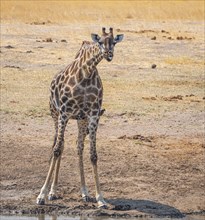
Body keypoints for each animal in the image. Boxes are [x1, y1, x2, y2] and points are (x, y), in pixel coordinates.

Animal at [36, 27, 123, 208]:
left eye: (114, 42)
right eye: (100, 41)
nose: (109, 53)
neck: (86, 74)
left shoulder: (93, 115)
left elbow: (93, 155)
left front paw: (100, 198)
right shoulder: (64, 112)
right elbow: (57, 149)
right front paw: (41, 195)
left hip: (80, 120)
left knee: (78, 146)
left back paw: (84, 192)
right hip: (55, 114)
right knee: (59, 145)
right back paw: (52, 192)